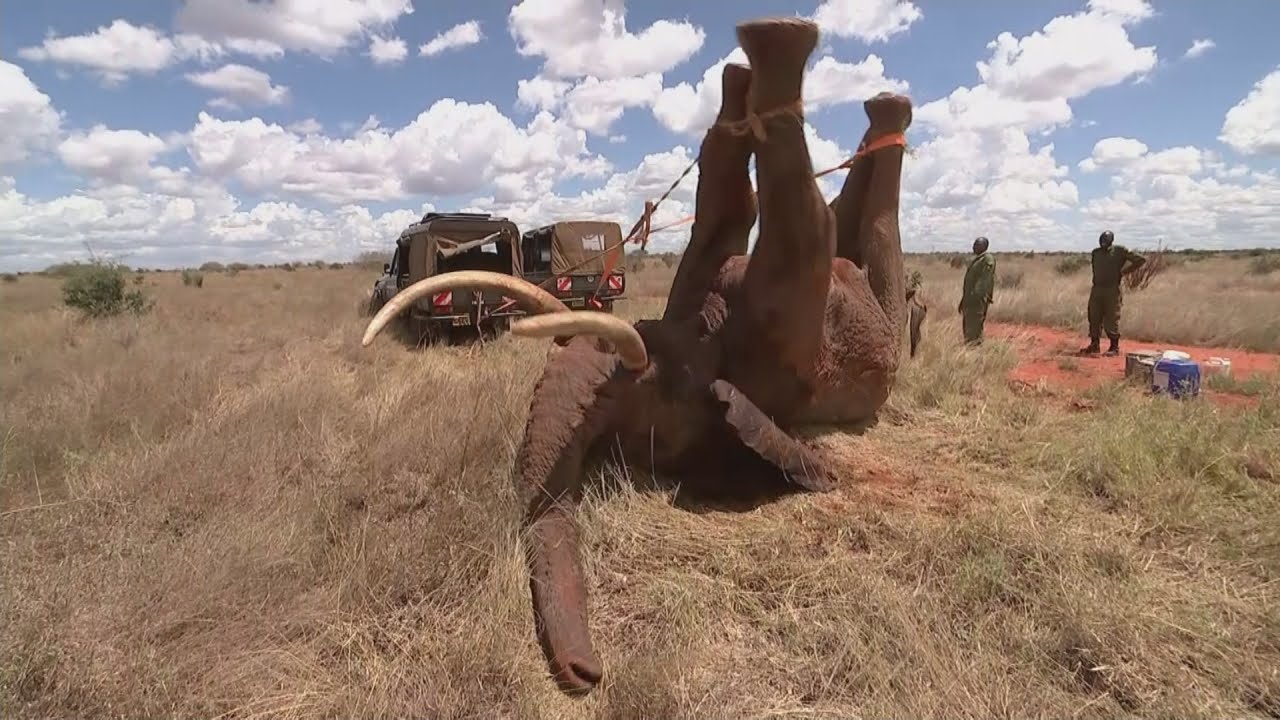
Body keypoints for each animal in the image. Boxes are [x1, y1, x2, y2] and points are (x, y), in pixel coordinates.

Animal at [366, 15, 916, 696]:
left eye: (646, 385)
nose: (586, 674)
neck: (706, 335)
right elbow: (747, 213)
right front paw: (744, 87)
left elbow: (774, 219)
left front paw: (763, 60)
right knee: (856, 223)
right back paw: (805, 89)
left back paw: (822, 77)